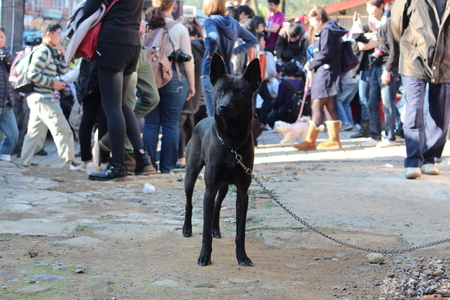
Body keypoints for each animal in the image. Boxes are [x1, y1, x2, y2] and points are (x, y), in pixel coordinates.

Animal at [182, 53, 262, 264]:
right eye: (220, 90)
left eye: (240, 93)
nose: (223, 107)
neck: (231, 142)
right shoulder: (209, 189)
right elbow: (204, 231)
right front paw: (204, 256)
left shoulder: (242, 192)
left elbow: (240, 231)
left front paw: (242, 257)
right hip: (191, 175)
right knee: (189, 202)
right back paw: (186, 228)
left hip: (224, 185)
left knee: (218, 205)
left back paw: (216, 229)